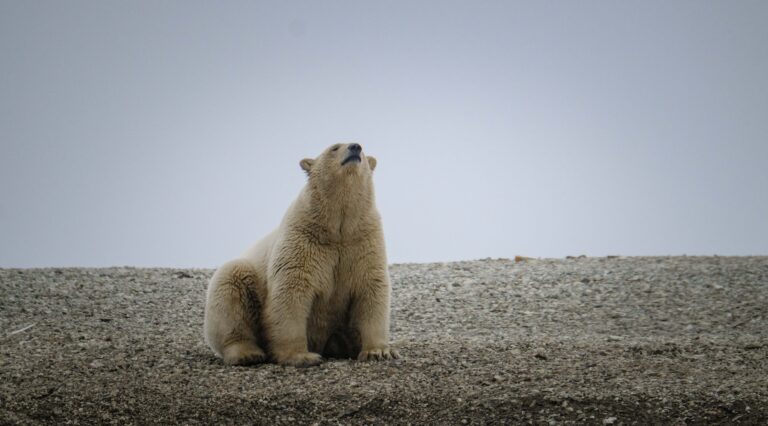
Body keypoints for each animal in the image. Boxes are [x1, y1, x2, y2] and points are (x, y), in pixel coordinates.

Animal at [204, 143, 398, 367]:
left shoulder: (363, 241)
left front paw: (378, 352)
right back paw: (247, 353)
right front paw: (301, 356)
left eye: (364, 151)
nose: (355, 147)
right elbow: (291, 291)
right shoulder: (302, 240)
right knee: (231, 289)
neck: (337, 228)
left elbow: (371, 289)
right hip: (243, 279)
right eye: (334, 147)